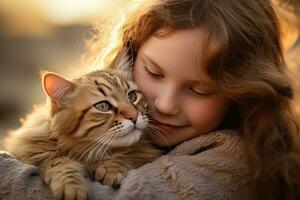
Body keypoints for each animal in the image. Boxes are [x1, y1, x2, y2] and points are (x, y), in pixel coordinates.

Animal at [2, 65, 162, 198]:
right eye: (103, 106)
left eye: (132, 96)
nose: (134, 117)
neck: (91, 153)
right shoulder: (34, 150)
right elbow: (60, 162)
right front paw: (72, 187)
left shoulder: (145, 150)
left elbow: (129, 154)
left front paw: (111, 168)